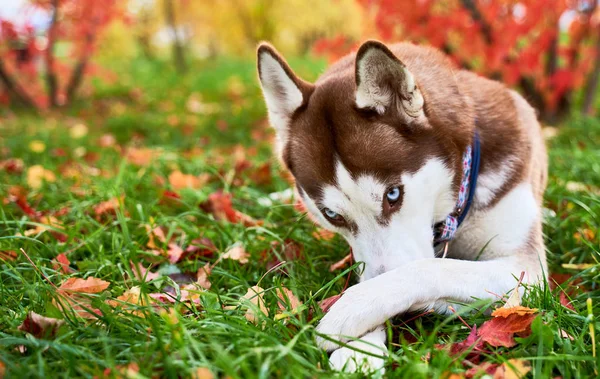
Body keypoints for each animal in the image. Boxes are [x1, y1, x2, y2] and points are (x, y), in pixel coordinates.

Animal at [255, 40, 548, 372]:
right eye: (331, 215)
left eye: (392, 195)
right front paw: (361, 347)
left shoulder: (526, 271)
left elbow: (431, 267)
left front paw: (352, 308)